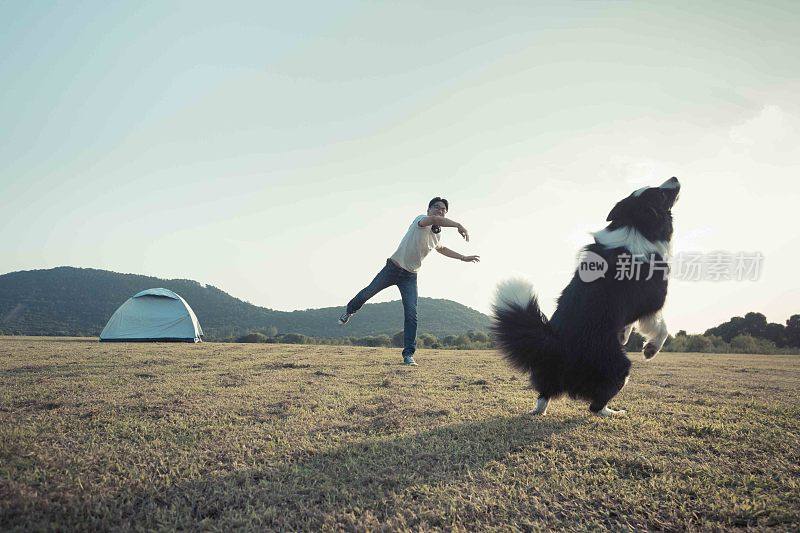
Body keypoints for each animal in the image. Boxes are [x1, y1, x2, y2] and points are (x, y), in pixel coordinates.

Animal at [494, 178, 680, 416]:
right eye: (661, 195)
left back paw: (538, 411)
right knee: (595, 405)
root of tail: (557, 346)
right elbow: (662, 327)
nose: (674, 178)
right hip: (618, 367)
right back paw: (612, 413)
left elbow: (630, 324)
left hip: (551, 374)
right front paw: (650, 350)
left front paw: (624, 336)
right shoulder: (652, 303)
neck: (635, 225)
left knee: (544, 394)